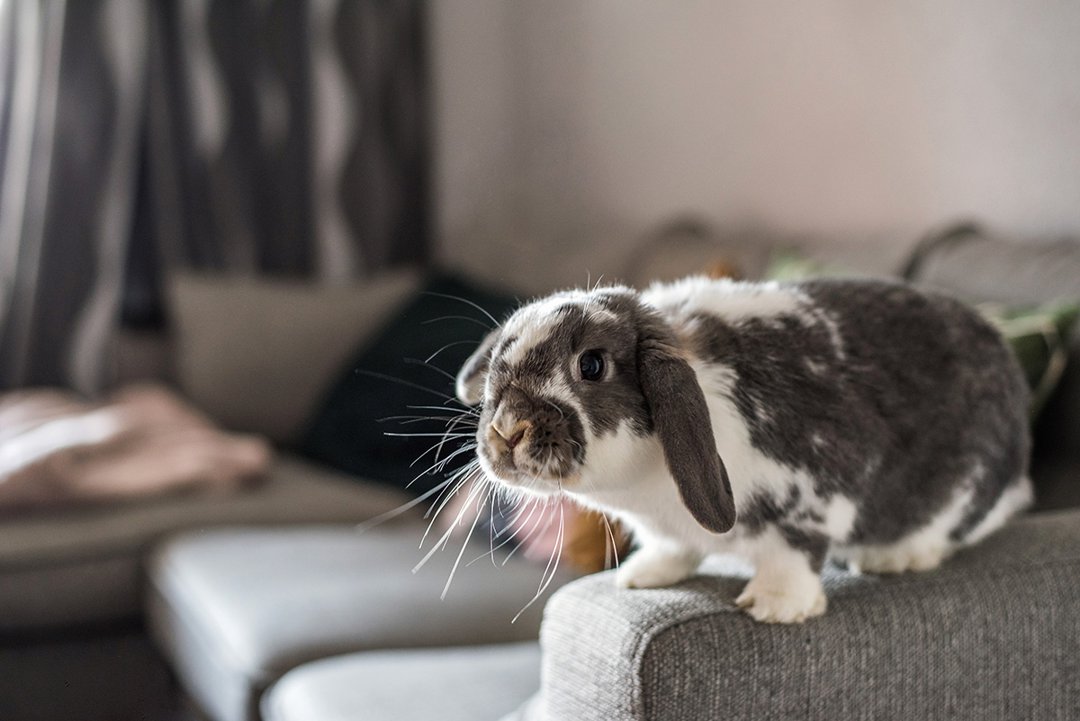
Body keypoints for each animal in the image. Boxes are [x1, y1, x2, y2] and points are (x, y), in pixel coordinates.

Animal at [453, 276, 1028, 626]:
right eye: (499, 359)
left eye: (591, 365)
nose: (507, 431)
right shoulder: (667, 529)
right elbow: (671, 549)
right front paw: (643, 577)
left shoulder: (815, 492)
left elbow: (793, 553)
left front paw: (777, 606)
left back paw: (895, 557)